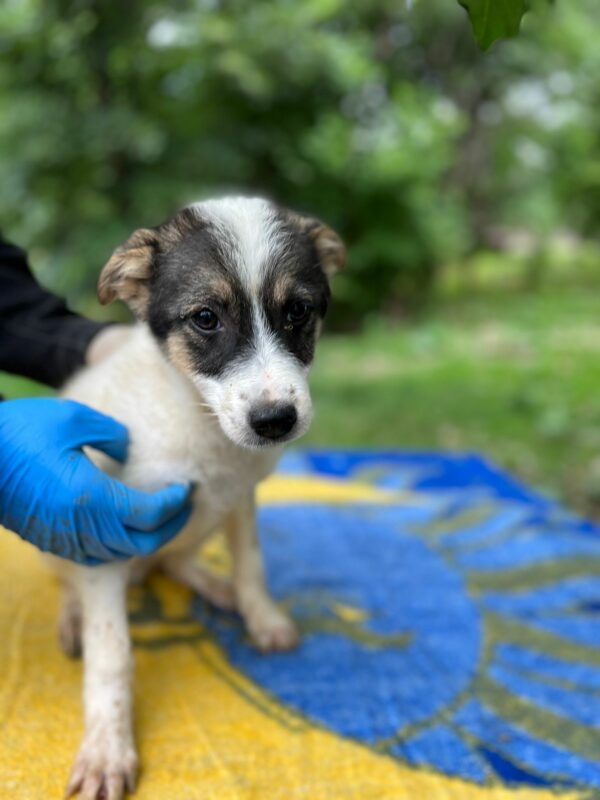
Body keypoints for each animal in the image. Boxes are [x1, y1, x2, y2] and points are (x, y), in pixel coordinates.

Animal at [48, 195, 342, 800]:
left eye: (298, 311)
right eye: (206, 318)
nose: (275, 421)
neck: (200, 424)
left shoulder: (241, 496)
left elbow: (252, 565)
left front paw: (260, 615)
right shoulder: (104, 529)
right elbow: (112, 654)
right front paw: (108, 750)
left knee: (178, 561)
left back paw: (218, 588)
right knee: (71, 580)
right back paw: (72, 618)